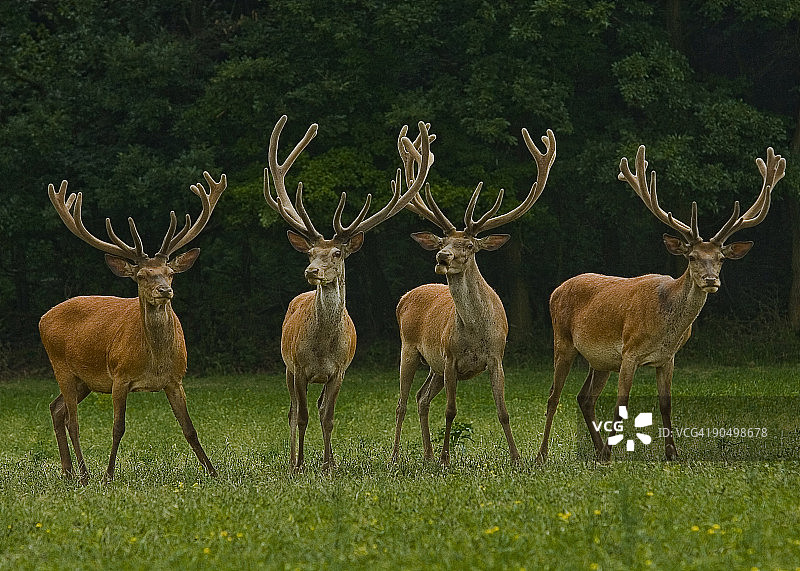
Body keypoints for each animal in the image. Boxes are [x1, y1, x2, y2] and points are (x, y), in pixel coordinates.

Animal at [39, 171, 226, 484]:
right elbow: (118, 428)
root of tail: (43, 317)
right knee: (72, 420)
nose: (165, 290)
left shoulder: (176, 379)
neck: (154, 361)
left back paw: (67, 471)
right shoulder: (119, 376)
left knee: (57, 410)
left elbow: (190, 428)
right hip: (61, 366)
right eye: (141, 275)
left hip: (84, 380)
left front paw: (213, 471)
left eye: (170, 273)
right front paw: (108, 475)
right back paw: (84, 473)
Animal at [263, 115, 434, 470]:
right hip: (286, 368)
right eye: (309, 253)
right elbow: (300, 417)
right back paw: (291, 458)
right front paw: (299, 464)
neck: (322, 347)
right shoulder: (298, 368)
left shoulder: (339, 371)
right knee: (292, 412)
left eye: (337, 253)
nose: (311, 271)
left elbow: (327, 417)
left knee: (315, 408)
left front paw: (329, 464)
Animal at [391, 127, 557, 465]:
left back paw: (427, 456)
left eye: (468, 245)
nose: (442, 256)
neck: (476, 331)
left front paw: (517, 458)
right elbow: (451, 411)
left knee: (421, 398)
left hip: (434, 366)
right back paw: (398, 456)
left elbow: (503, 411)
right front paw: (446, 458)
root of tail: (405, 297)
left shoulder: (496, 357)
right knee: (402, 403)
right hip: (409, 349)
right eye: (442, 241)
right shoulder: (451, 358)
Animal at [537, 145, 785, 463]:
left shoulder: (668, 358)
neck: (666, 326)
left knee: (584, 397)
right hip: (563, 341)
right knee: (554, 396)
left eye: (721, 258)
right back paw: (543, 454)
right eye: (691, 257)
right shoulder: (629, 351)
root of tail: (555, 290)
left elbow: (665, 405)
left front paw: (671, 453)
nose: (710, 280)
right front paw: (614, 453)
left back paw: (597, 450)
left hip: (600, 360)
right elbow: (621, 405)